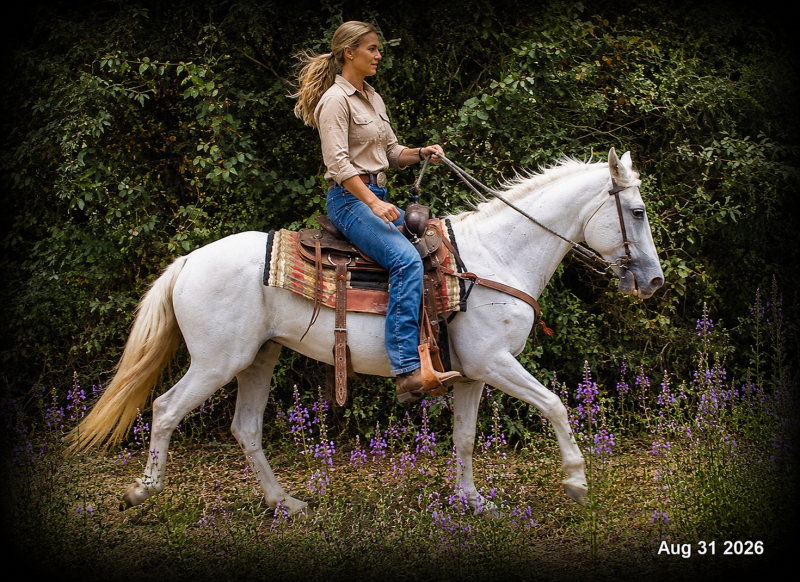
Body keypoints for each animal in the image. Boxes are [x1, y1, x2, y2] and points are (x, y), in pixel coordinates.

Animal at [73, 148, 664, 518]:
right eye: (636, 211)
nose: (654, 282)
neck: (496, 257)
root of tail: (188, 260)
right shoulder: (496, 362)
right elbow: (557, 405)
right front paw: (576, 482)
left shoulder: (473, 373)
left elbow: (466, 438)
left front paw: (474, 503)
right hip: (217, 361)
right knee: (166, 409)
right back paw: (142, 492)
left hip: (258, 358)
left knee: (246, 429)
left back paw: (286, 504)